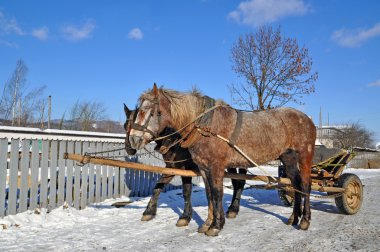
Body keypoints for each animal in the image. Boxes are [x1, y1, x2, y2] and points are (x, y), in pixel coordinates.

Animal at [129, 83, 316, 235]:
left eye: (154, 112)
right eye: (139, 111)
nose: (134, 139)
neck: (206, 126)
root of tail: (307, 119)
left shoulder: (216, 167)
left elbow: (217, 193)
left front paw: (216, 225)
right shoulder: (204, 168)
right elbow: (209, 194)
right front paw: (207, 223)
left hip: (304, 156)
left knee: (305, 185)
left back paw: (305, 220)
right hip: (288, 158)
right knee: (295, 184)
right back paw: (294, 217)